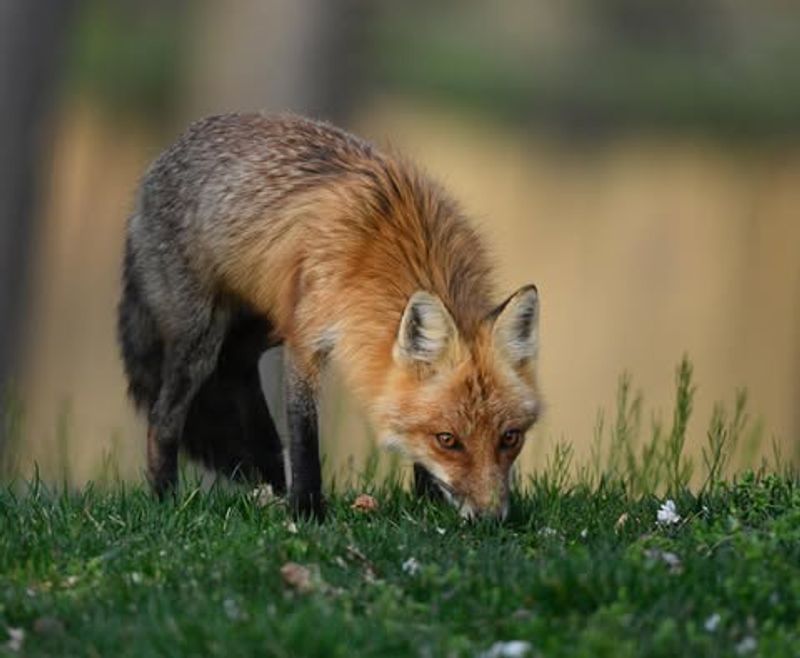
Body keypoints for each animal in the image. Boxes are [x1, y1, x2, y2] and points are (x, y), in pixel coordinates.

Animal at [117, 113, 541, 520]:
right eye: (448, 441)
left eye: (510, 438)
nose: (490, 518)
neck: (402, 247)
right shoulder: (305, 340)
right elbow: (305, 435)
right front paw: (306, 511)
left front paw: (426, 500)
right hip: (202, 340)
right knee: (163, 419)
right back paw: (166, 498)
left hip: (272, 318)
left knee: (238, 364)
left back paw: (272, 484)